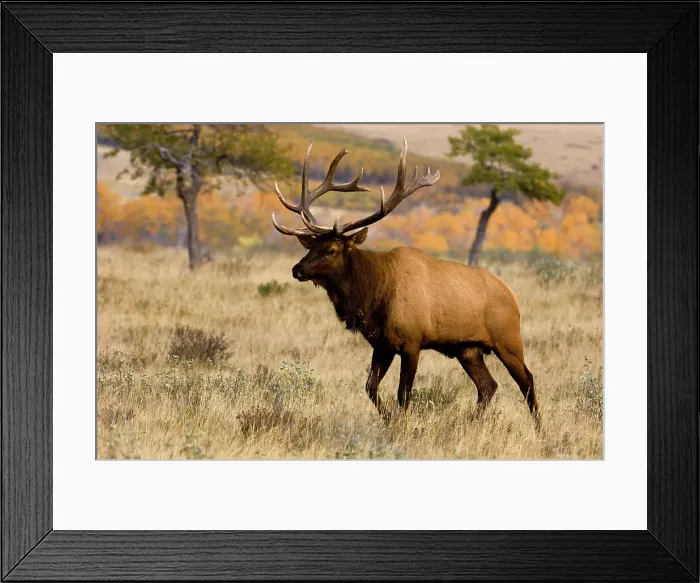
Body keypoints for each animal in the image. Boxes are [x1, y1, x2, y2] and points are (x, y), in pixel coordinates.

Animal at [272, 138, 539, 425]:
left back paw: (539, 428)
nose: (297, 269)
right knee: (488, 385)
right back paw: (470, 422)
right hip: (467, 348)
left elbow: (403, 393)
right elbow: (370, 388)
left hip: (508, 339)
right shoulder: (382, 344)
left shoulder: (412, 341)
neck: (374, 297)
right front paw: (389, 418)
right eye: (311, 246)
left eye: (332, 249)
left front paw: (401, 423)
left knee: (527, 380)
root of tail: (513, 296)